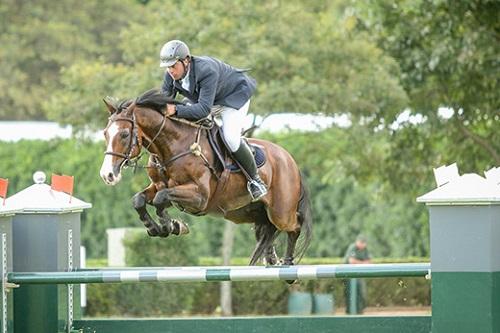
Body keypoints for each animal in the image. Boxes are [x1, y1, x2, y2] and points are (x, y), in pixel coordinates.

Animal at [99, 89, 312, 264]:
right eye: (105, 134)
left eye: (124, 134)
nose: (107, 175)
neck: (172, 146)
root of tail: (290, 160)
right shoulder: (161, 187)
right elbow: (139, 200)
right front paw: (157, 228)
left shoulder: (199, 197)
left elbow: (160, 199)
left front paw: (172, 226)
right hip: (247, 212)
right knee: (267, 230)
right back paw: (271, 258)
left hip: (281, 212)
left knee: (294, 226)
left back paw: (288, 264)